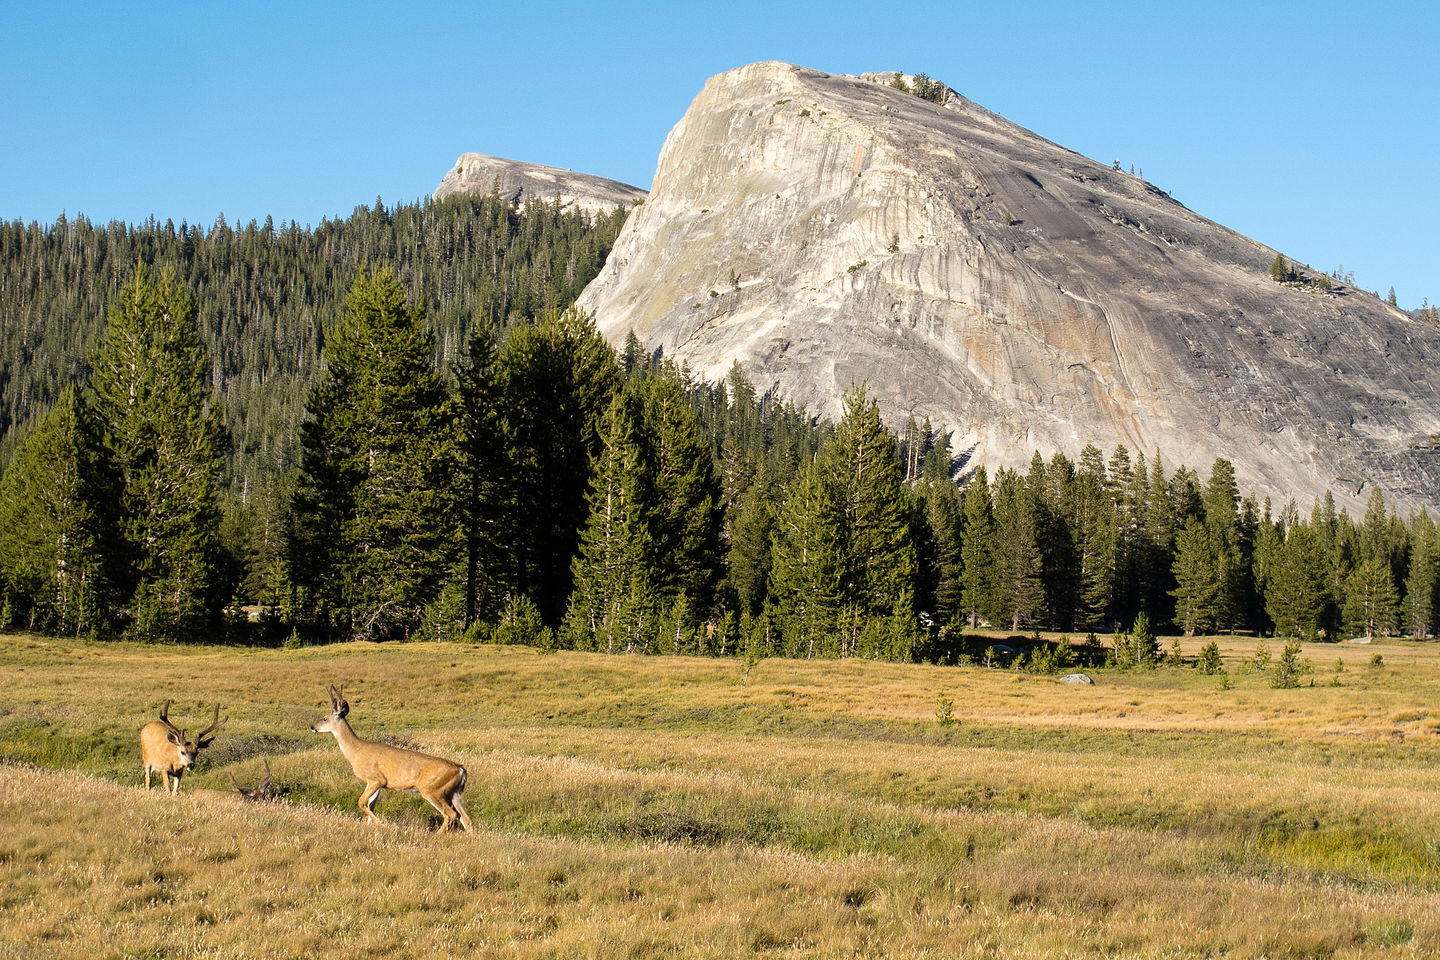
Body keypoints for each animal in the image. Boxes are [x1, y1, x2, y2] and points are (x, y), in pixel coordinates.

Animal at [312, 682, 475, 834]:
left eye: (325, 718)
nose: (312, 727)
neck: (356, 752)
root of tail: (461, 770)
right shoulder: (376, 784)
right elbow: (370, 805)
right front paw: (373, 826)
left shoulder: (376, 779)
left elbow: (361, 802)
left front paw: (382, 823)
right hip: (454, 793)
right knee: (466, 819)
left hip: (432, 789)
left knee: (451, 814)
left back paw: (437, 835)